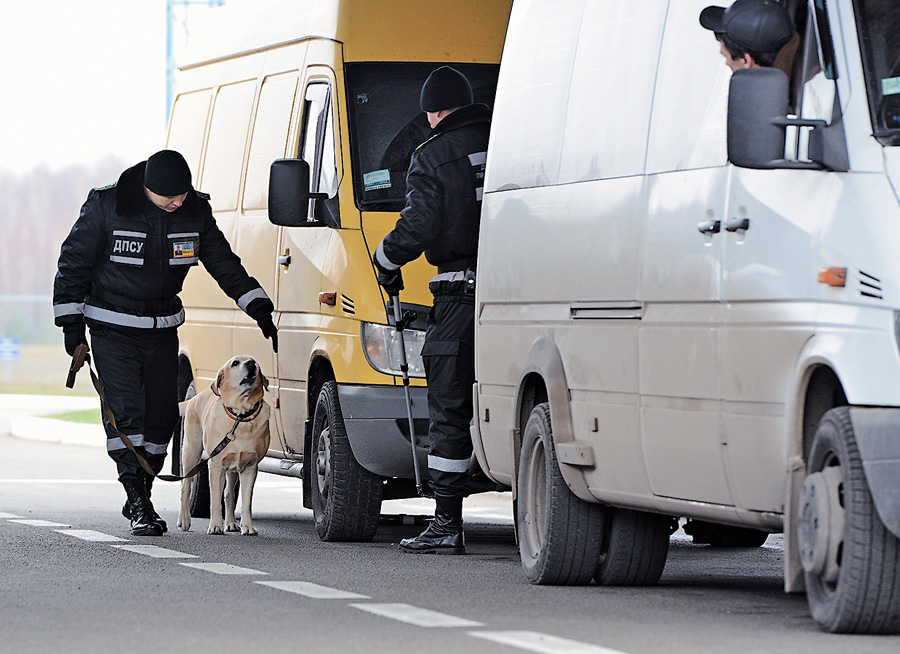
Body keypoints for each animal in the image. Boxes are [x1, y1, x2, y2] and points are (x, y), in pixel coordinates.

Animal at [177, 358, 270, 540]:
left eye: (255, 361)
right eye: (235, 363)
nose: (250, 363)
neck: (241, 416)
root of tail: (195, 397)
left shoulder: (250, 468)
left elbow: (246, 502)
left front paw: (247, 527)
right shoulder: (216, 466)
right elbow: (214, 501)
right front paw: (215, 526)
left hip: (232, 468)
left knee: (229, 494)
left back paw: (231, 523)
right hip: (191, 453)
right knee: (186, 486)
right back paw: (184, 520)